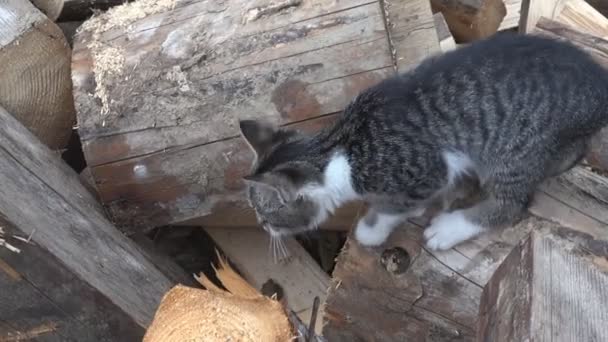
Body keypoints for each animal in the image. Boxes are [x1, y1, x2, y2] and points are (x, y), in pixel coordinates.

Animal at [238, 33, 608, 250]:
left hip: (515, 146)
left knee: (512, 203)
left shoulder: (426, 171)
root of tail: (599, 86)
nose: (261, 226)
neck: (340, 151)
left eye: (264, 214)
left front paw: (371, 230)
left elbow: (394, 208)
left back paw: (451, 229)